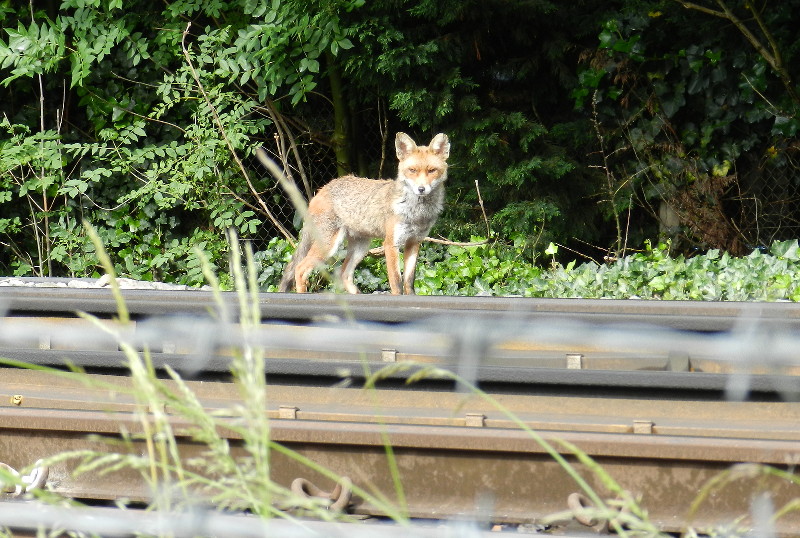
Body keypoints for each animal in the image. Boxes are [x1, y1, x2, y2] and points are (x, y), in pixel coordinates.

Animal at [278, 132, 450, 296]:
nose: (421, 189)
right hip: (328, 245)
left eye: (432, 170)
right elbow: (396, 282)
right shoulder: (391, 244)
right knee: (300, 269)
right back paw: (302, 295)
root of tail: (322, 189)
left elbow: (409, 281)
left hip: (360, 248)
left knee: (343, 273)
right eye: (412, 170)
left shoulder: (414, 242)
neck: (416, 213)